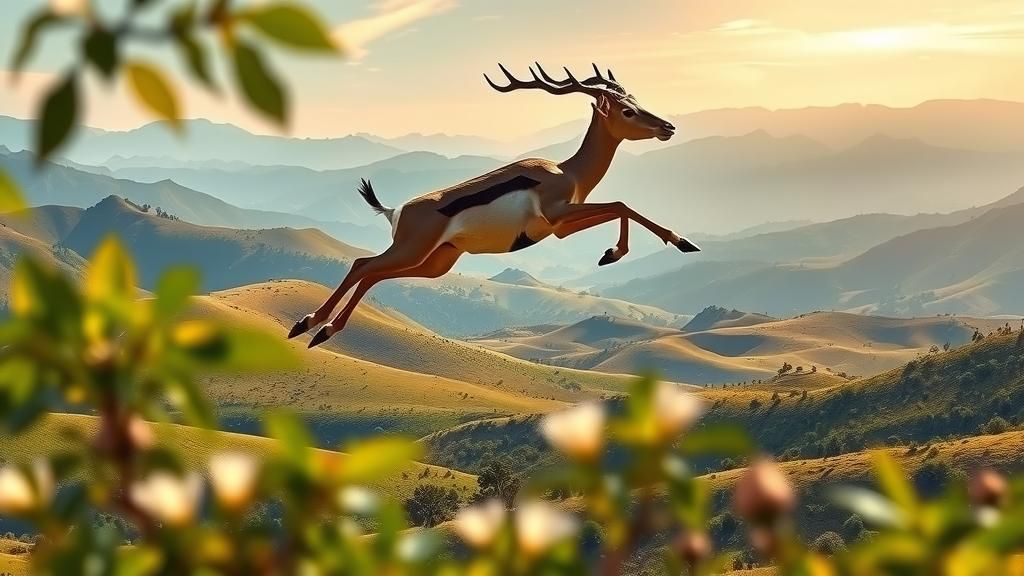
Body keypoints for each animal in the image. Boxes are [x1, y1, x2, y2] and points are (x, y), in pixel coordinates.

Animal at [289, 63, 700, 348]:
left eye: (637, 102)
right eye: (627, 111)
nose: (667, 127)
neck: (568, 172)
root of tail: (396, 211)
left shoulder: (559, 228)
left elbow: (620, 207)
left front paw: (617, 253)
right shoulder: (557, 215)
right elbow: (621, 203)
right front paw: (670, 244)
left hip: (435, 262)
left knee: (374, 274)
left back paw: (319, 330)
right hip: (412, 250)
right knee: (362, 265)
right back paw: (308, 325)